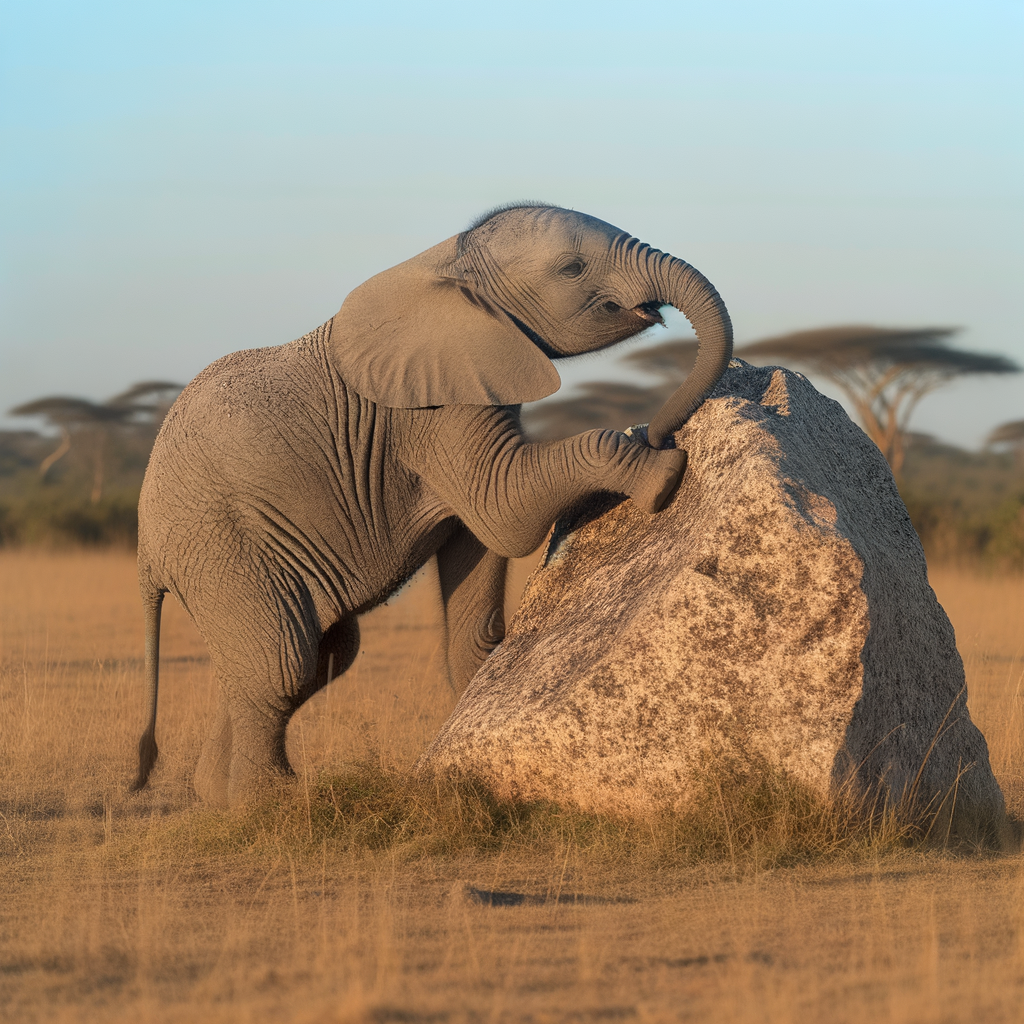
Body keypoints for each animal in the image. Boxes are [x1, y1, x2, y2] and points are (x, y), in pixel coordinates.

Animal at [130, 203, 733, 807]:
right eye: (572, 268)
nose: (659, 430)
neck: (453, 260)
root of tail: (146, 554)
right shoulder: (434, 408)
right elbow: (503, 511)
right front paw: (662, 474)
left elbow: (479, 581)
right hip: (219, 544)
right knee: (283, 664)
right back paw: (274, 802)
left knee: (314, 655)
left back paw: (218, 799)